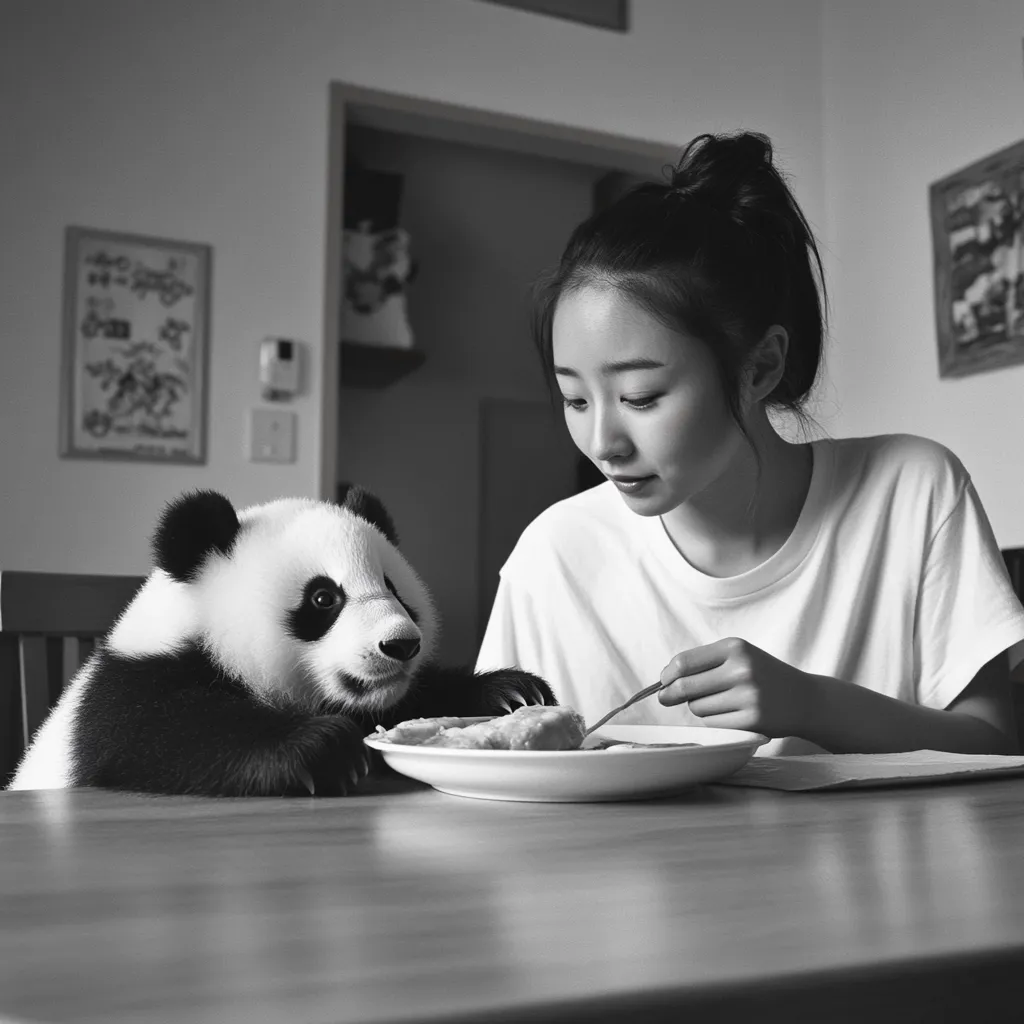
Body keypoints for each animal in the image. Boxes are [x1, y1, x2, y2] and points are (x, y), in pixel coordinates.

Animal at [8, 486, 555, 796]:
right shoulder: (127, 694)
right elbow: (166, 735)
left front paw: (513, 692)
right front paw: (322, 749)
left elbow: (408, 701)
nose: (401, 646)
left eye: (395, 589)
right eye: (322, 598)